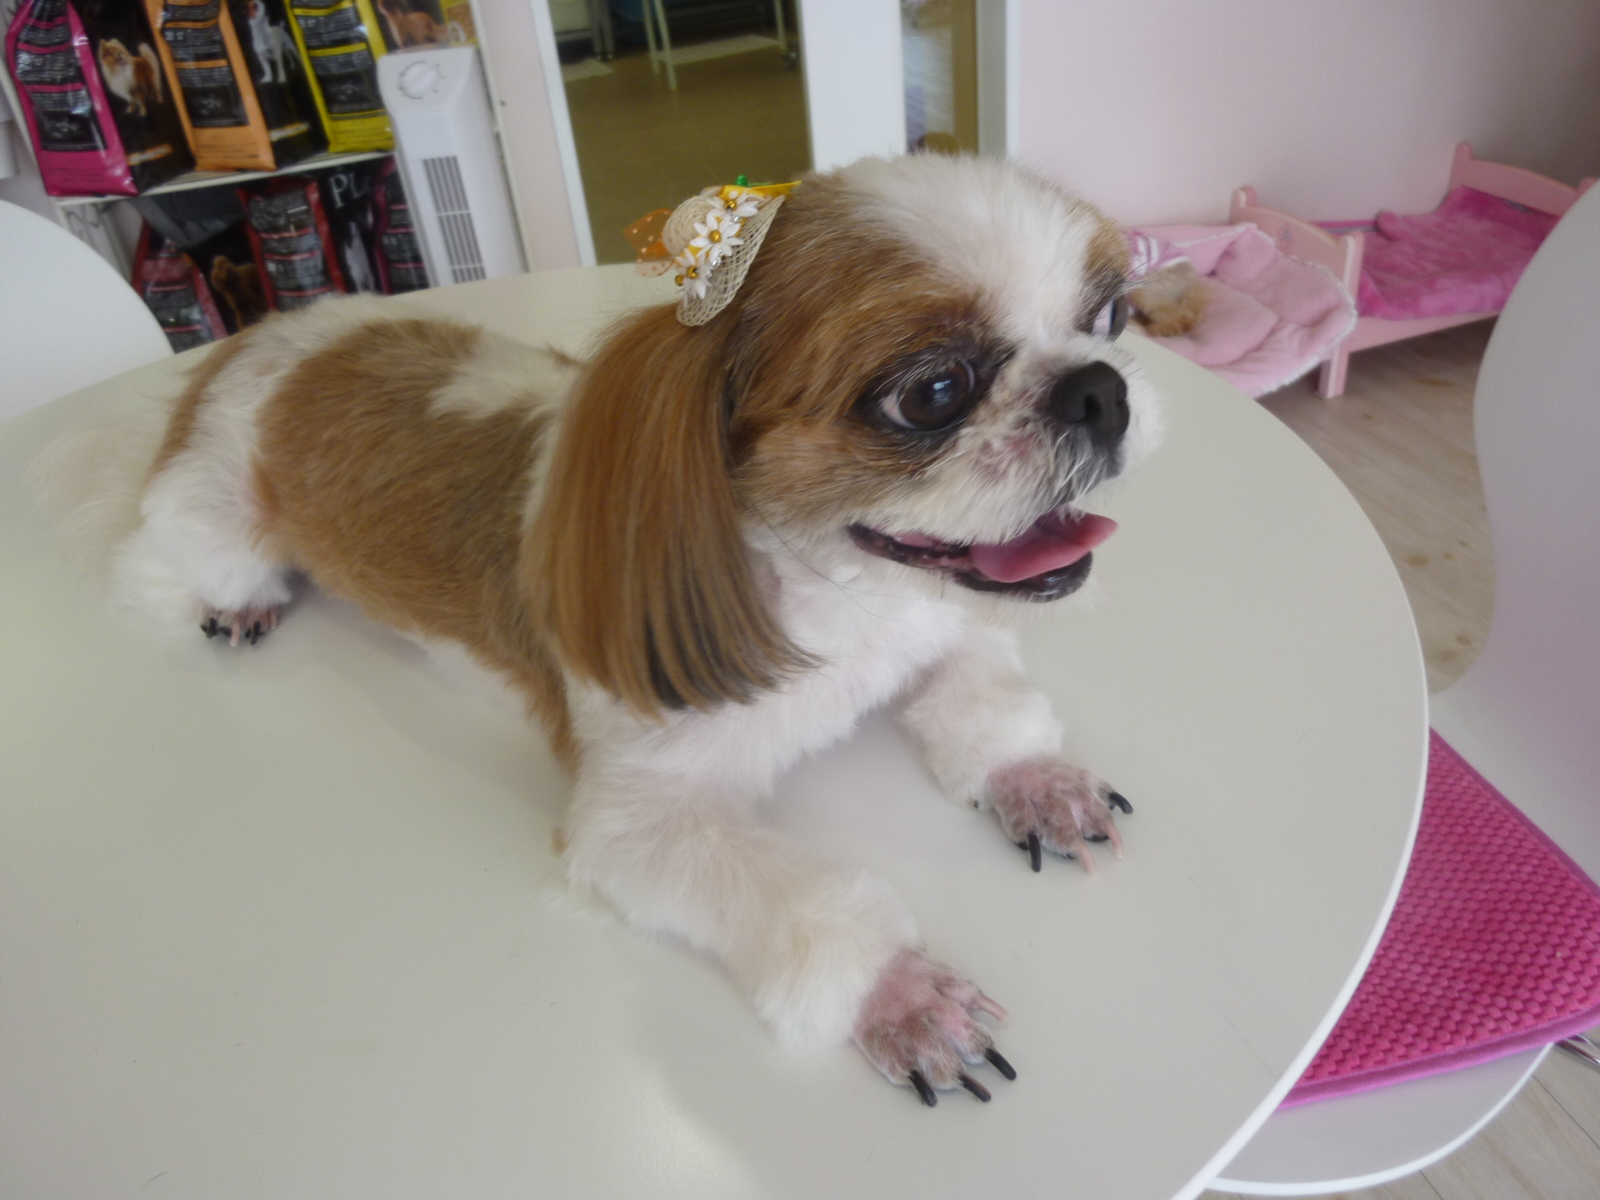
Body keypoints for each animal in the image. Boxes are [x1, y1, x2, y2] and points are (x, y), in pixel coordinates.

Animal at [107, 155, 1161, 1106]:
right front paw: (899, 995)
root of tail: (253, 340)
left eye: (1108, 318)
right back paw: (231, 602)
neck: (838, 594)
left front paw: (1035, 780)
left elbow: (981, 695)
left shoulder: (931, 622)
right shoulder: (640, 816)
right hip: (215, 519)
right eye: (932, 392)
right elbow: (798, 904)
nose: (1100, 389)